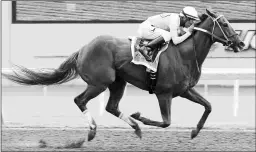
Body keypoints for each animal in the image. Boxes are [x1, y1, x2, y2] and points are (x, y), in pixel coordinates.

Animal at [3, 8, 245, 141]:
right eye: (224, 24)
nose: (241, 43)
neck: (185, 52)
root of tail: (83, 48)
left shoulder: (184, 90)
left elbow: (208, 106)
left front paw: (194, 131)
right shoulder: (164, 93)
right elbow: (166, 122)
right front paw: (140, 116)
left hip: (118, 82)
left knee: (111, 107)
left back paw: (135, 128)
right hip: (100, 82)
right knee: (79, 100)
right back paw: (93, 130)